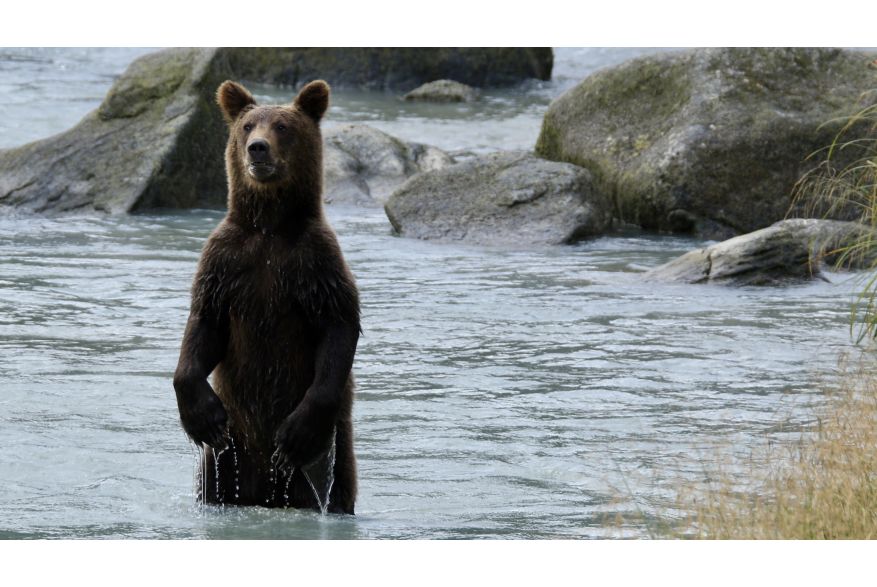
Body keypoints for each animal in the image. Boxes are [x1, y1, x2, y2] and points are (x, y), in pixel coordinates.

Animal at [173, 79, 360, 514]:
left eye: (283, 127)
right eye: (247, 126)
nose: (258, 148)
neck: (269, 227)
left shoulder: (315, 264)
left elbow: (338, 326)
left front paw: (297, 433)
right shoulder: (227, 263)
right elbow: (204, 324)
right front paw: (201, 416)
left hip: (335, 453)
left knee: (336, 484)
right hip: (226, 460)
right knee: (214, 479)